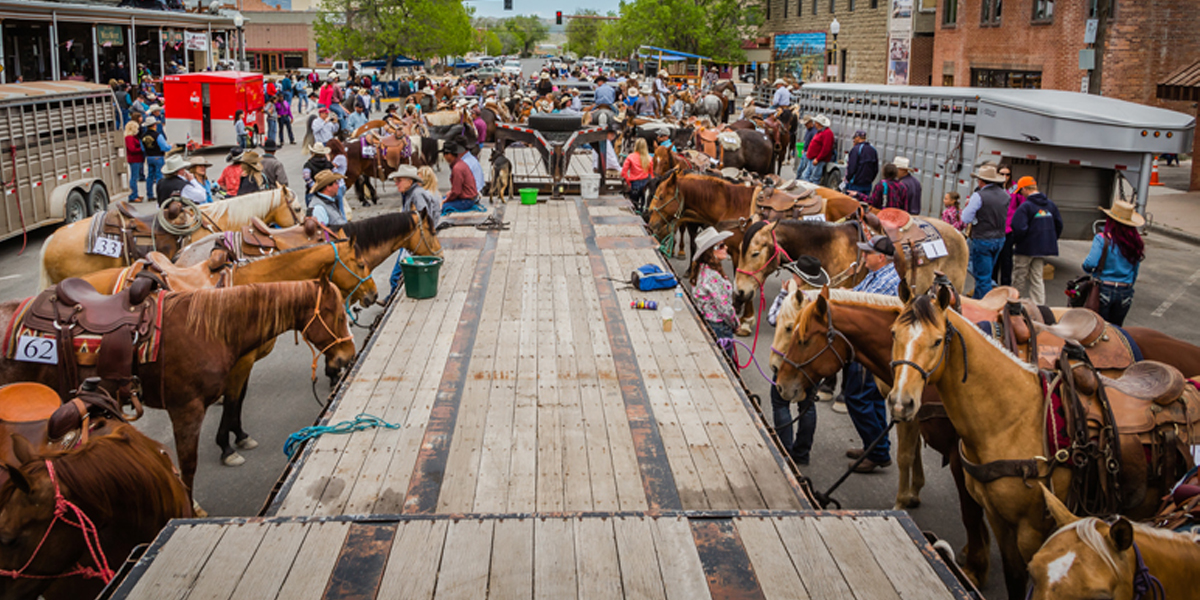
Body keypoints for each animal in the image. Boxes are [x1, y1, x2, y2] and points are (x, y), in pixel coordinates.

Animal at [0, 278, 355, 504]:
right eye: (338, 315)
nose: (348, 356)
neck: (208, 331)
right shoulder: (186, 410)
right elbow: (188, 465)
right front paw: (192, 504)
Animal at [888, 288, 1176, 597]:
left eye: (937, 341)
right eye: (893, 333)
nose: (901, 402)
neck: (1014, 417)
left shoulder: (1032, 530)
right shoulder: (999, 520)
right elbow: (1013, 577)